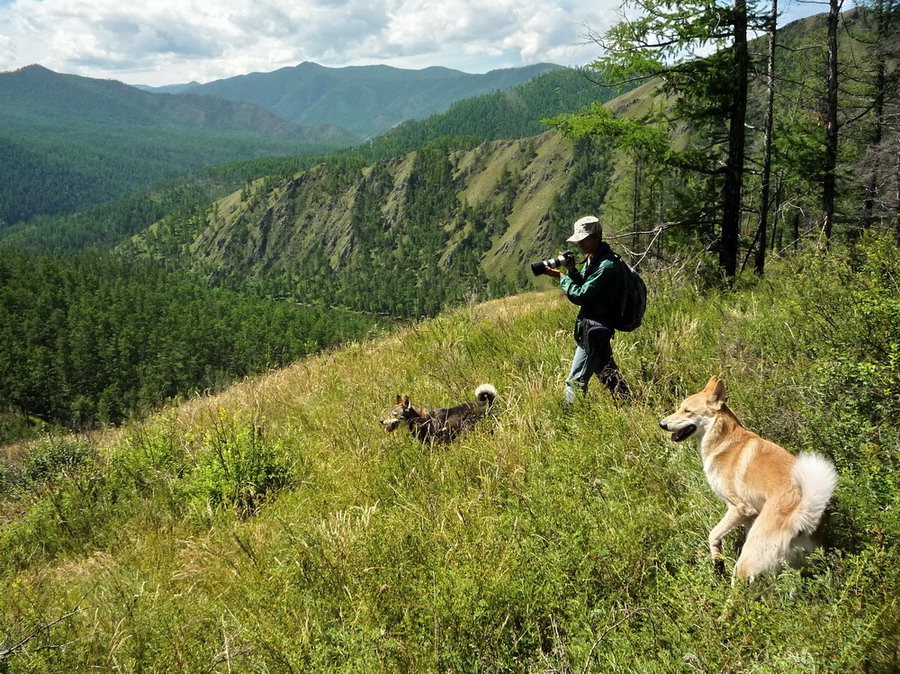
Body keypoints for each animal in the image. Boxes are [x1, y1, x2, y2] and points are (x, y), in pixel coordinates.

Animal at [656, 376, 840, 580]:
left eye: (687, 410)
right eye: (680, 407)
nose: (662, 424)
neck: (725, 443)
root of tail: (801, 517)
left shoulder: (740, 509)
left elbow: (713, 535)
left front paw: (717, 563)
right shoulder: (749, 517)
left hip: (746, 563)